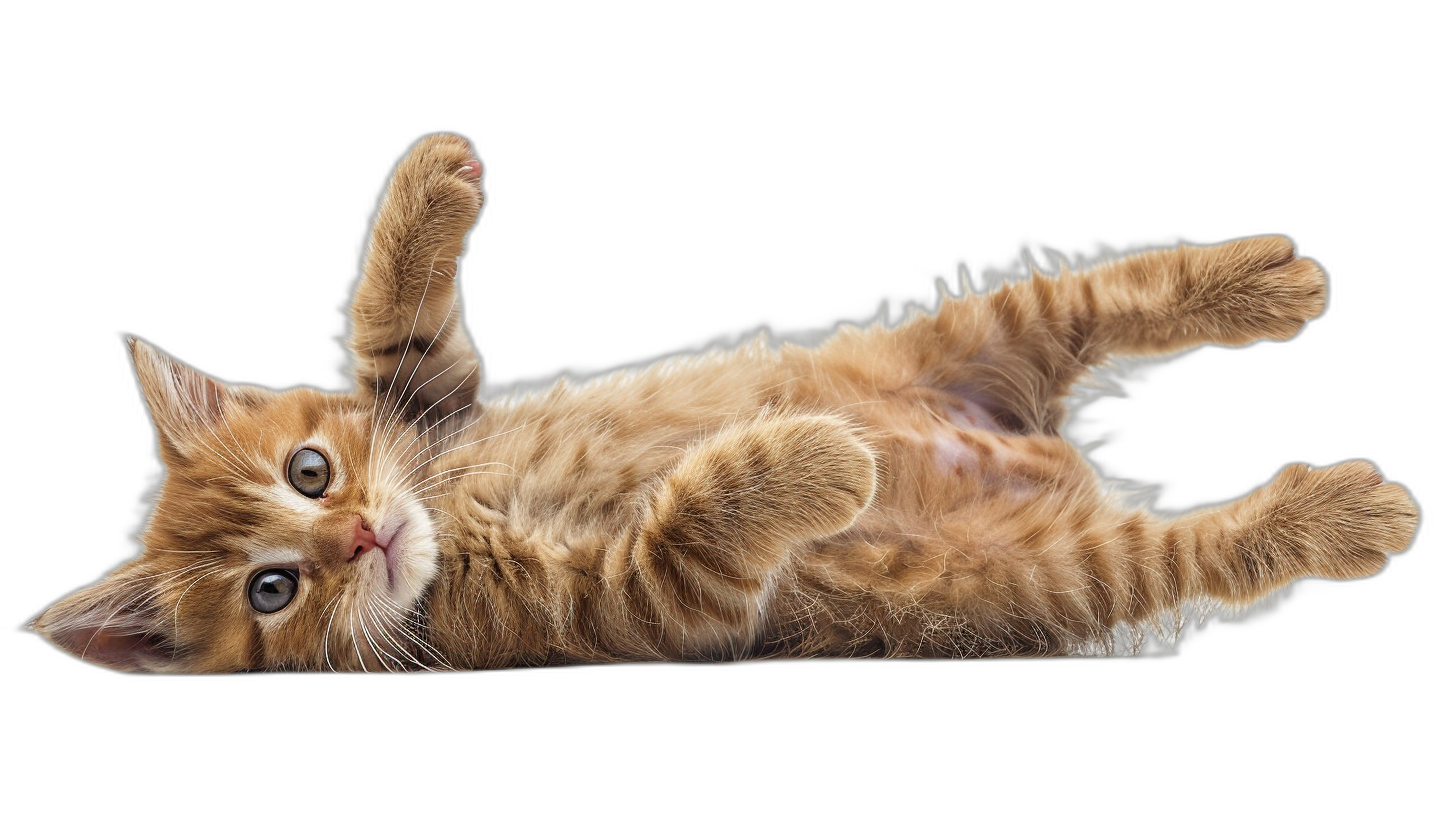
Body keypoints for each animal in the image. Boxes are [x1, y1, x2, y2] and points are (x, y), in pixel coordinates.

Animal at [28, 132, 1415, 670]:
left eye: (310, 472)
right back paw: (1340, 512)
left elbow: (391, 331)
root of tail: (1050, 463)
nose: (362, 535)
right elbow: (698, 519)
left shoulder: (445, 408)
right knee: (1199, 549)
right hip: (1056, 574)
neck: (453, 522)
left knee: (1107, 292)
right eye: (273, 590)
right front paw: (820, 462)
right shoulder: (651, 609)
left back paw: (1262, 280)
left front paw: (428, 183)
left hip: (975, 335)